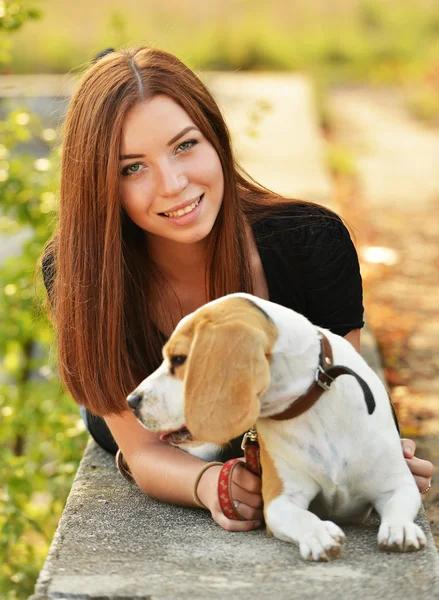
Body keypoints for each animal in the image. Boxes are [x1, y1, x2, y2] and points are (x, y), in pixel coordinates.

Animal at [127, 292, 426, 560]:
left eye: (178, 359)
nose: (131, 401)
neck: (313, 408)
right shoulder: (280, 499)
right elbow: (302, 518)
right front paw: (318, 534)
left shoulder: (397, 483)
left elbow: (400, 503)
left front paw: (400, 529)